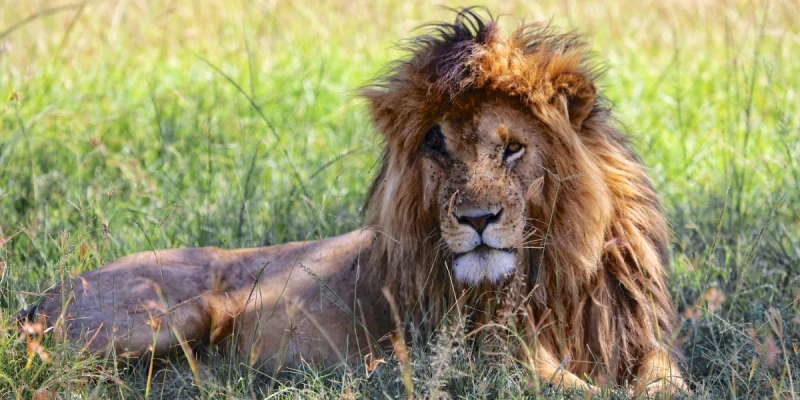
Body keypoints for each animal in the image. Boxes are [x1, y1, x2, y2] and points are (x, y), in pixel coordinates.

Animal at [28, 9, 684, 394]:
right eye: (436, 147)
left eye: (513, 149)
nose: (476, 220)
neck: (556, 272)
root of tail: (41, 296)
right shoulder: (491, 357)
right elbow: (582, 388)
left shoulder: (646, 343)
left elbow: (666, 383)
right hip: (169, 315)